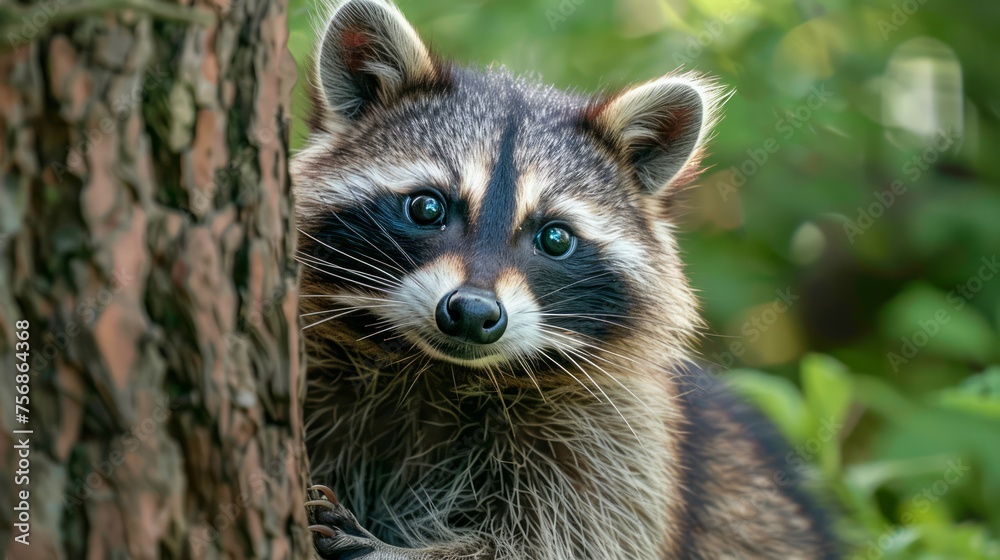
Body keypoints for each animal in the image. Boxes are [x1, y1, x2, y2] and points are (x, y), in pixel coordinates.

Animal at [292, 2, 836, 556]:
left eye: (555, 238)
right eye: (427, 208)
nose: (472, 312)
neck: (437, 370)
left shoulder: (618, 436)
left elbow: (569, 538)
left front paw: (405, 550)